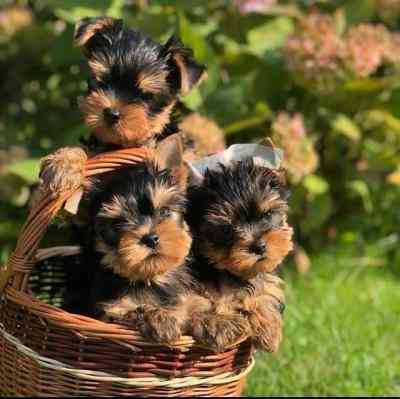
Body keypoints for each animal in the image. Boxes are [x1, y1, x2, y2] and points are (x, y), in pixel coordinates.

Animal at [65, 136, 194, 346]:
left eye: (165, 212)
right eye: (117, 225)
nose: (150, 238)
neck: (148, 279)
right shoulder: (107, 314)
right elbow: (130, 311)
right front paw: (160, 320)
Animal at [185, 159, 294, 354]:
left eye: (267, 214)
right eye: (226, 229)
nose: (258, 247)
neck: (228, 272)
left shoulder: (265, 279)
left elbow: (266, 292)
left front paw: (269, 331)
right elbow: (197, 302)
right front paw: (219, 324)